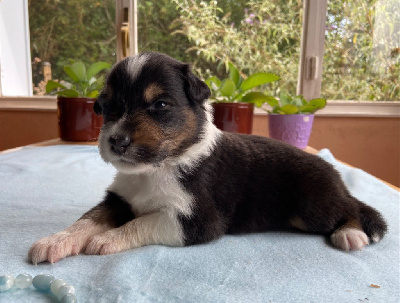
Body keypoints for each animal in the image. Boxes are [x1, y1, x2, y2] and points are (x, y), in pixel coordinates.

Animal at [28, 51, 388, 264]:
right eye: (107, 107)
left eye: (160, 105)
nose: (116, 142)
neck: (156, 168)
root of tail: (334, 173)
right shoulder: (119, 198)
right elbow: (86, 220)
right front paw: (53, 242)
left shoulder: (196, 219)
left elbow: (142, 222)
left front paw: (107, 239)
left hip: (313, 204)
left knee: (352, 209)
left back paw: (350, 233)